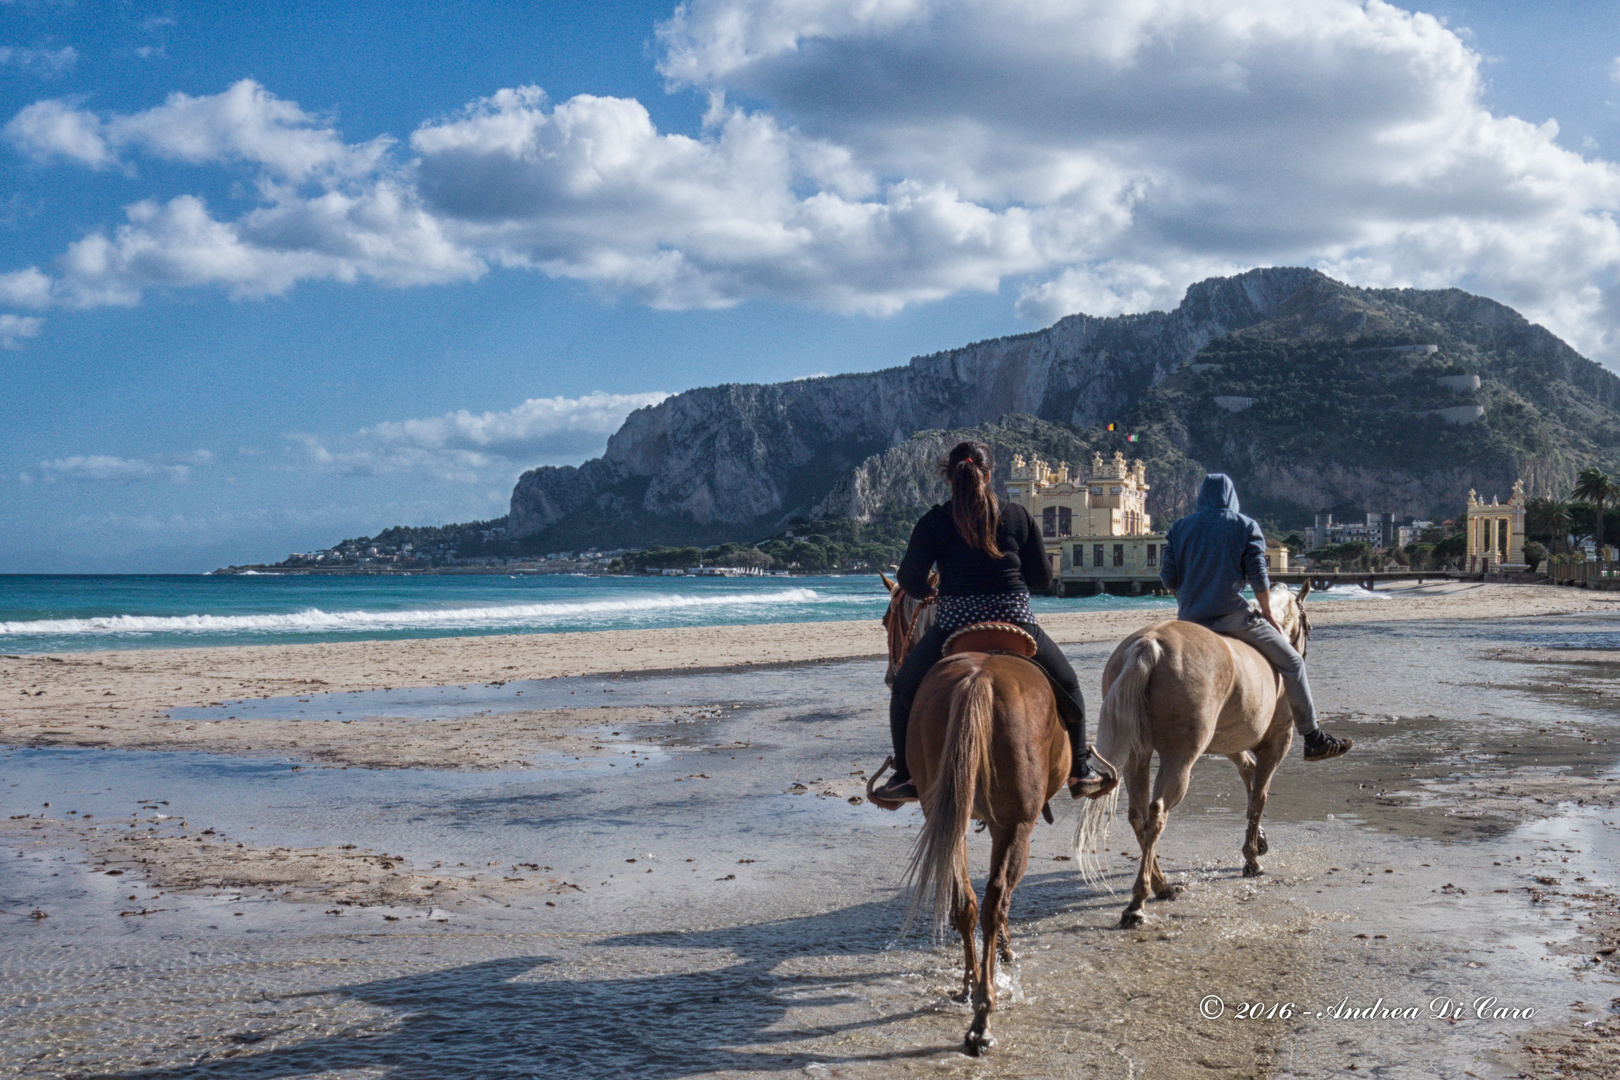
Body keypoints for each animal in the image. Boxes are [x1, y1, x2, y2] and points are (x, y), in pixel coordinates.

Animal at [874, 573, 1075, 1055]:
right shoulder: (1014, 827)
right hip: (1016, 823)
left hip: (949, 814)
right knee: (993, 902)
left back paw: (970, 990)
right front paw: (1004, 954)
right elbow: (1003, 897)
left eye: (888, 619)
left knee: (966, 902)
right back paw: (983, 1011)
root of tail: (980, 679)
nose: (892, 675)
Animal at [1075, 582, 1315, 932]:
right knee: (1157, 813)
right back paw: (1138, 902)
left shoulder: (1229, 743)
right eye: (1308, 625)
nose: (1302, 653)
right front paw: (1252, 859)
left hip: (1138, 756)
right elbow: (1259, 795)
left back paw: (1161, 885)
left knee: (1138, 816)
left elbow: (1249, 777)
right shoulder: (1276, 743)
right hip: (1180, 759)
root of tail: (1150, 645)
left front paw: (1258, 841)